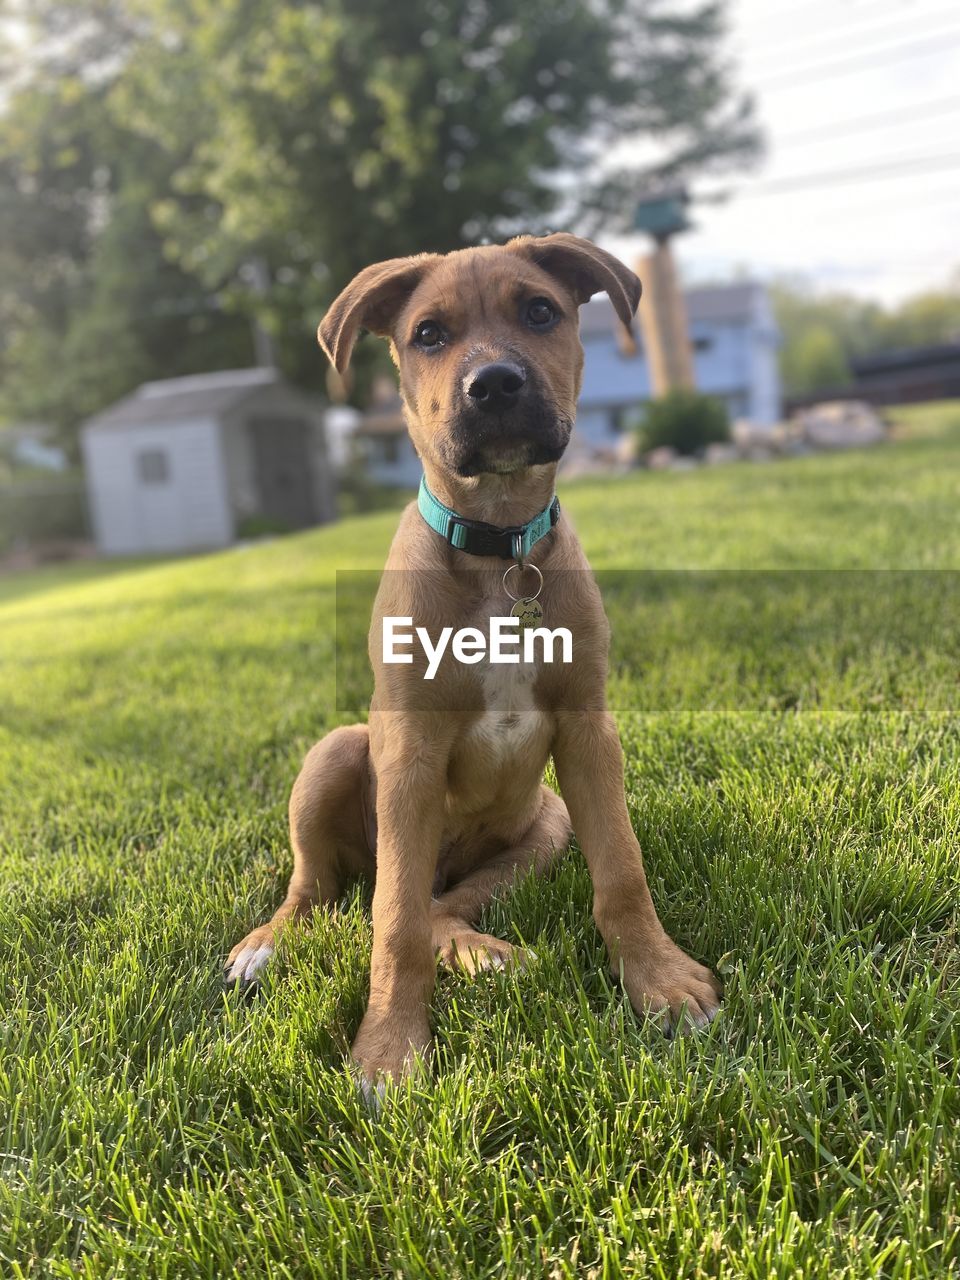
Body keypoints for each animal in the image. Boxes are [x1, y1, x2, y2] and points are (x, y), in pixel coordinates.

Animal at [227, 232, 721, 1090]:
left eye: (540, 312)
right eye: (428, 333)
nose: (493, 384)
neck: (498, 546)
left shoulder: (590, 735)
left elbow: (622, 871)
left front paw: (659, 979)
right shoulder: (408, 750)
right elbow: (390, 923)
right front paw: (389, 1048)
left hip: (543, 828)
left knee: (441, 906)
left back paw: (483, 953)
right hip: (338, 753)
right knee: (327, 888)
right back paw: (267, 944)